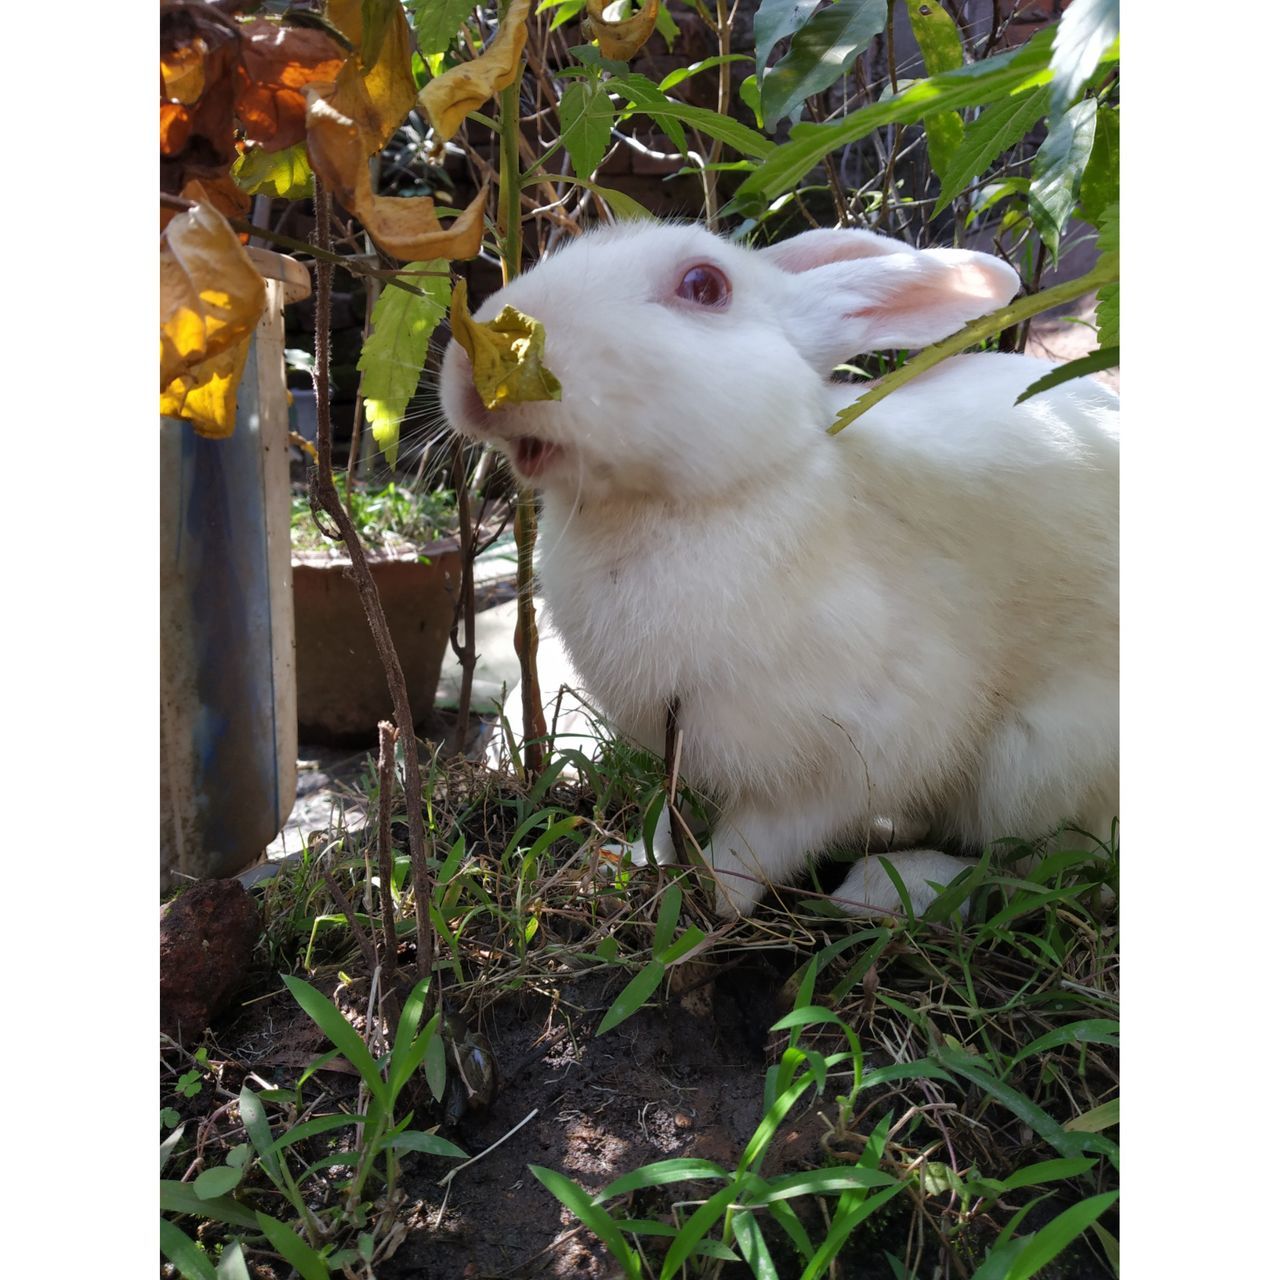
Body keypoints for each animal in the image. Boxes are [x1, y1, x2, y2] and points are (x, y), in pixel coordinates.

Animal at [442, 222, 1121, 921]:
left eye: (704, 286)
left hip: (1038, 768)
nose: (473, 366)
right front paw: (632, 859)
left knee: (1062, 873)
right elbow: (668, 814)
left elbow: (754, 848)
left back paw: (890, 888)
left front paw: (709, 896)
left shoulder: (852, 754)